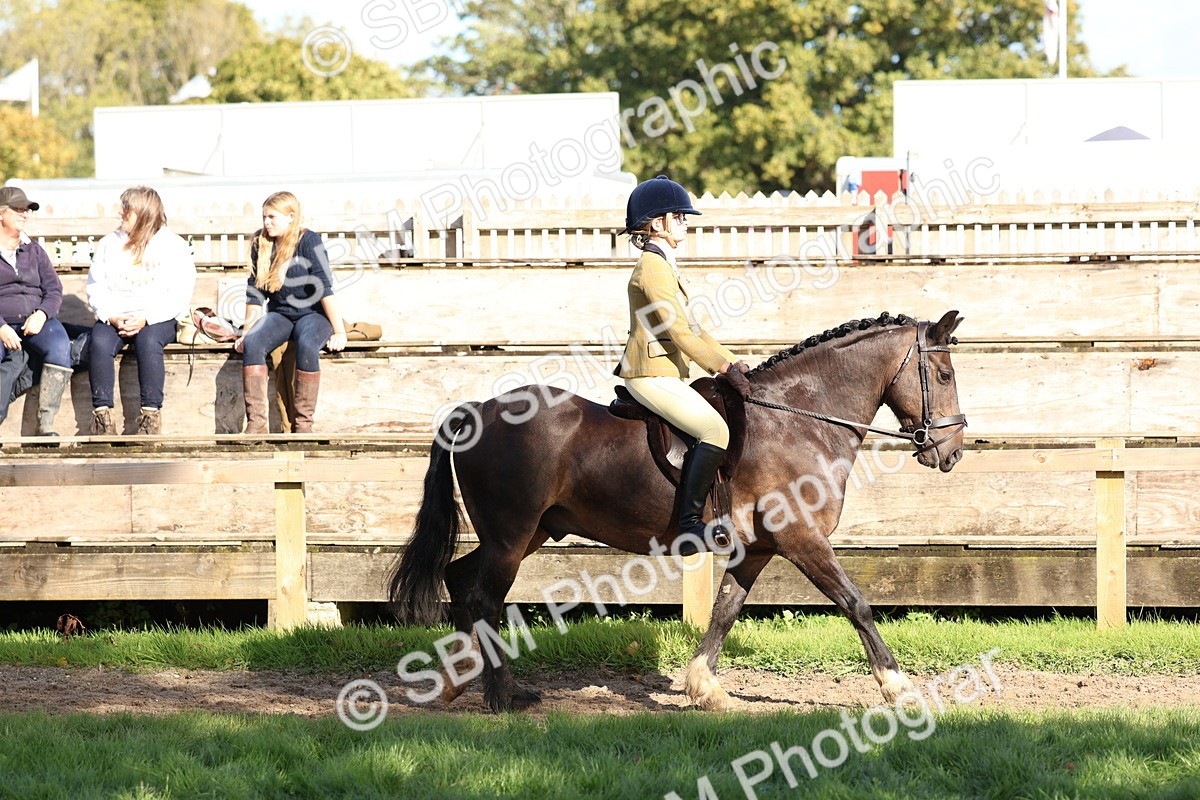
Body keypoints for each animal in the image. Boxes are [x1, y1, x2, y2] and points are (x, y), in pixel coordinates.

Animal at [390, 310, 967, 712]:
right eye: (942, 375)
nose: (952, 452)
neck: (798, 420)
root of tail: (475, 411)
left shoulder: (758, 549)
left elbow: (726, 611)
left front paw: (704, 688)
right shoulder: (803, 540)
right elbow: (856, 604)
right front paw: (899, 687)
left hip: (522, 536)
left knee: (460, 580)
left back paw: (458, 682)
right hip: (511, 537)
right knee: (485, 598)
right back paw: (502, 696)